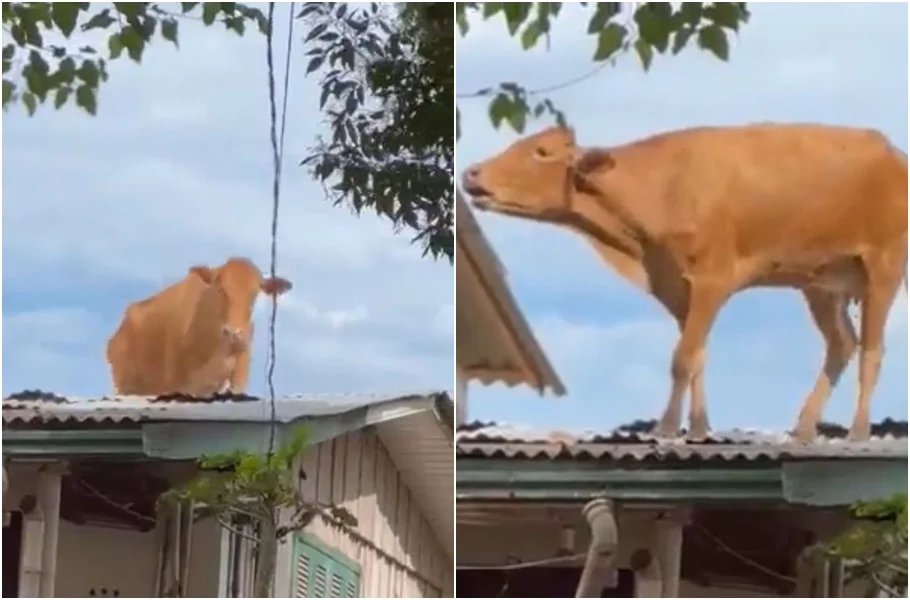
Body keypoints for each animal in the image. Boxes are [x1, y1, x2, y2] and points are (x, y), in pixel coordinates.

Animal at [461, 123, 907, 443]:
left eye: (541, 151)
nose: (471, 172)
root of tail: (890, 150)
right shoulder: (677, 286)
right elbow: (696, 357)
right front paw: (697, 427)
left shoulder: (712, 277)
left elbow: (682, 358)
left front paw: (666, 428)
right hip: (821, 283)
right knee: (841, 344)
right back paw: (802, 427)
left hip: (883, 266)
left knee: (871, 350)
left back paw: (858, 431)